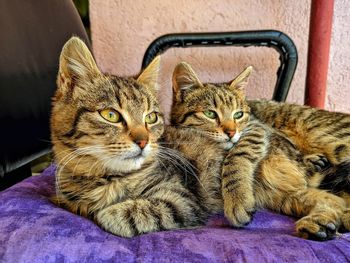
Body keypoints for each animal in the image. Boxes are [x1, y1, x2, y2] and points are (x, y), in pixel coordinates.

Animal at [168, 62, 348, 241]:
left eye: (238, 114)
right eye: (210, 113)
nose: (231, 133)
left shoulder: (255, 128)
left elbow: (236, 157)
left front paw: (238, 199)